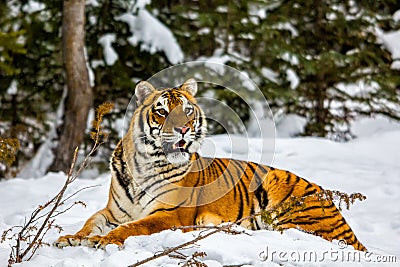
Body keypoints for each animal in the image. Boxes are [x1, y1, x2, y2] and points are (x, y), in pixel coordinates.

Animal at [54, 77, 368, 251]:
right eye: (162, 111)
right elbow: (91, 223)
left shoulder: (170, 214)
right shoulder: (114, 211)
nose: (182, 129)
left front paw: (105, 241)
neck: (145, 164)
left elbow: (135, 227)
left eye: (188, 111)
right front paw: (71, 238)